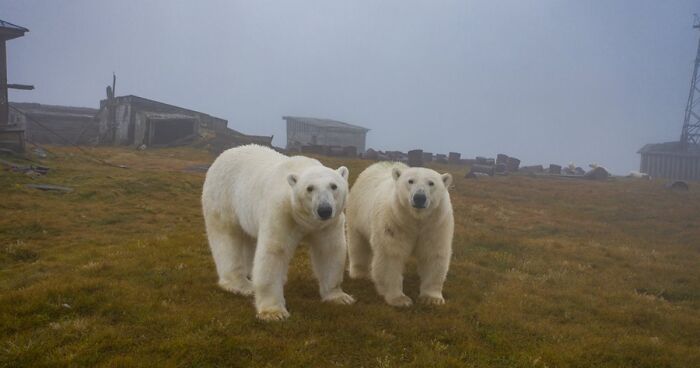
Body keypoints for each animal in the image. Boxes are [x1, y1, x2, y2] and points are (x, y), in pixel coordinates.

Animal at [202, 144, 356, 320]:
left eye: (334, 186)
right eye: (309, 188)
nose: (324, 209)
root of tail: (224, 154)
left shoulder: (328, 224)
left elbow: (330, 251)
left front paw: (340, 297)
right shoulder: (281, 212)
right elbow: (274, 252)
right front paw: (274, 312)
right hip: (223, 198)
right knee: (227, 239)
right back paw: (241, 284)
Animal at [344, 162, 454, 306]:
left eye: (431, 183)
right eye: (410, 181)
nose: (419, 197)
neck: (416, 219)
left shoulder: (435, 224)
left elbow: (433, 254)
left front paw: (432, 298)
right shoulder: (394, 221)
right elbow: (391, 254)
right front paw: (400, 299)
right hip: (357, 211)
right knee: (358, 244)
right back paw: (360, 273)